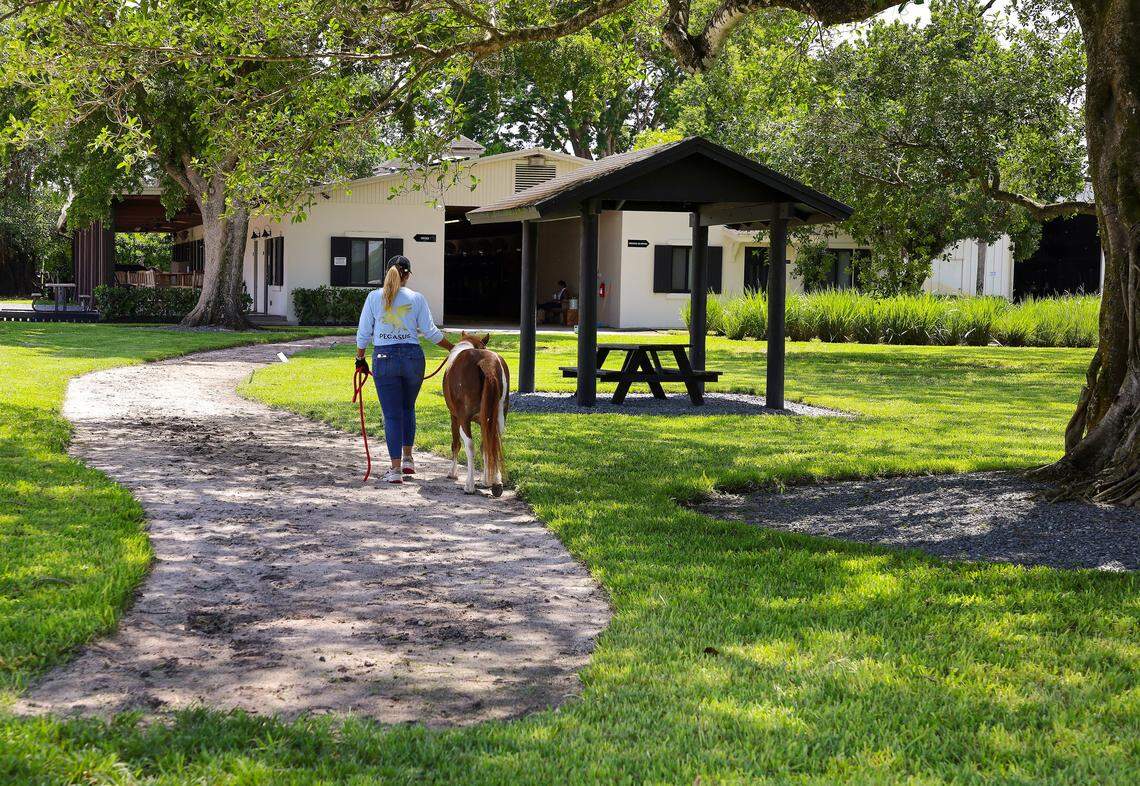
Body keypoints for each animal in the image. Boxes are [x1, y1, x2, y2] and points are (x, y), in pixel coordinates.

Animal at [441, 332, 510, 496]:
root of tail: (487, 363)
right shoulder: (486, 420)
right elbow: (486, 445)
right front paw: (487, 481)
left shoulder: (454, 417)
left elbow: (456, 444)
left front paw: (452, 473)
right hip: (499, 417)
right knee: (493, 442)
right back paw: (496, 483)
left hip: (463, 419)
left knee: (469, 446)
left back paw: (469, 485)